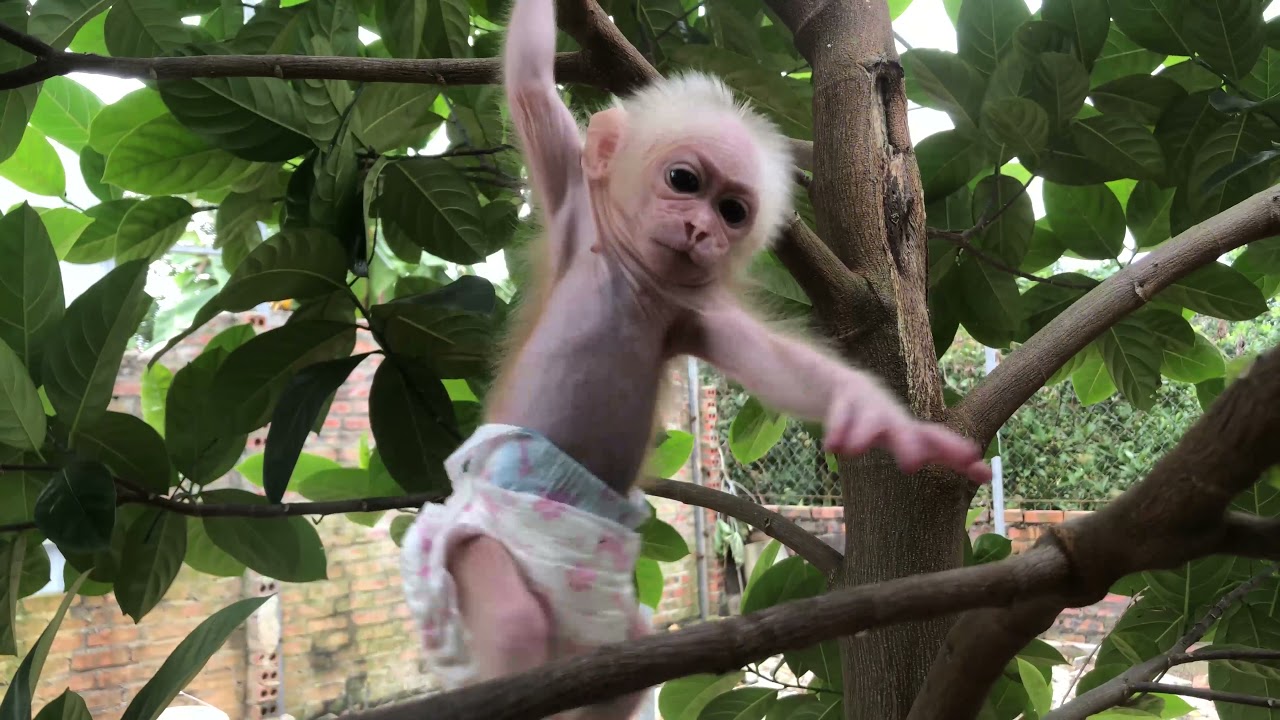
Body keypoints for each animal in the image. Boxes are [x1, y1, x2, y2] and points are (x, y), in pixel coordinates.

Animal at [399, 0, 993, 716]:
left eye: (733, 211)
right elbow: (531, 86)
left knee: (619, 670)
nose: (702, 229)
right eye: (684, 180)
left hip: (601, 614)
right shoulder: (573, 202)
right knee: (512, 618)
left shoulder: (692, 310)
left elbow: (776, 365)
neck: (631, 273)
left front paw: (887, 423)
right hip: (467, 545)